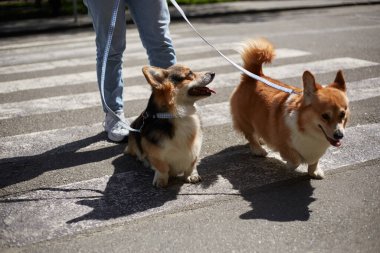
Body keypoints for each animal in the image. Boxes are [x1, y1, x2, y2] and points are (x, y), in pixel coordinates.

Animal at [230, 38, 348, 179]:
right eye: (325, 116)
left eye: (342, 114)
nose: (339, 135)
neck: (308, 129)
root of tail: (253, 75)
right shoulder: (283, 144)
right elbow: (295, 159)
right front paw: (290, 165)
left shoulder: (316, 152)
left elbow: (314, 162)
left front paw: (314, 172)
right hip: (245, 121)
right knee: (250, 136)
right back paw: (259, 150)